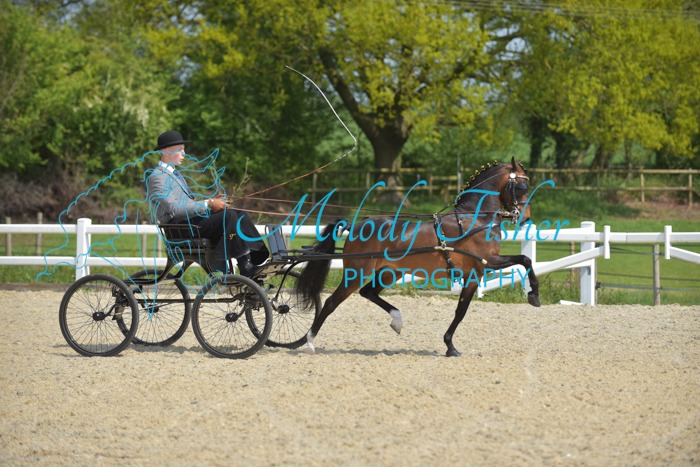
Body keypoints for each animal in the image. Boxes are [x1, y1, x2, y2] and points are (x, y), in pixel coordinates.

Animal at [295, 157, 540, 357]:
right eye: (522, 187)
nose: (526, 218)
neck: (474, 219)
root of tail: (356, 225)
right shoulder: (483, 266)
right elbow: (463, 310)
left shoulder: (478, 271)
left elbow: (522, 262)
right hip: (357, 272)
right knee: (331, 302)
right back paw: (309, 342)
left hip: (389, 272)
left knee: (368, 292)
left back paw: (397, 321)